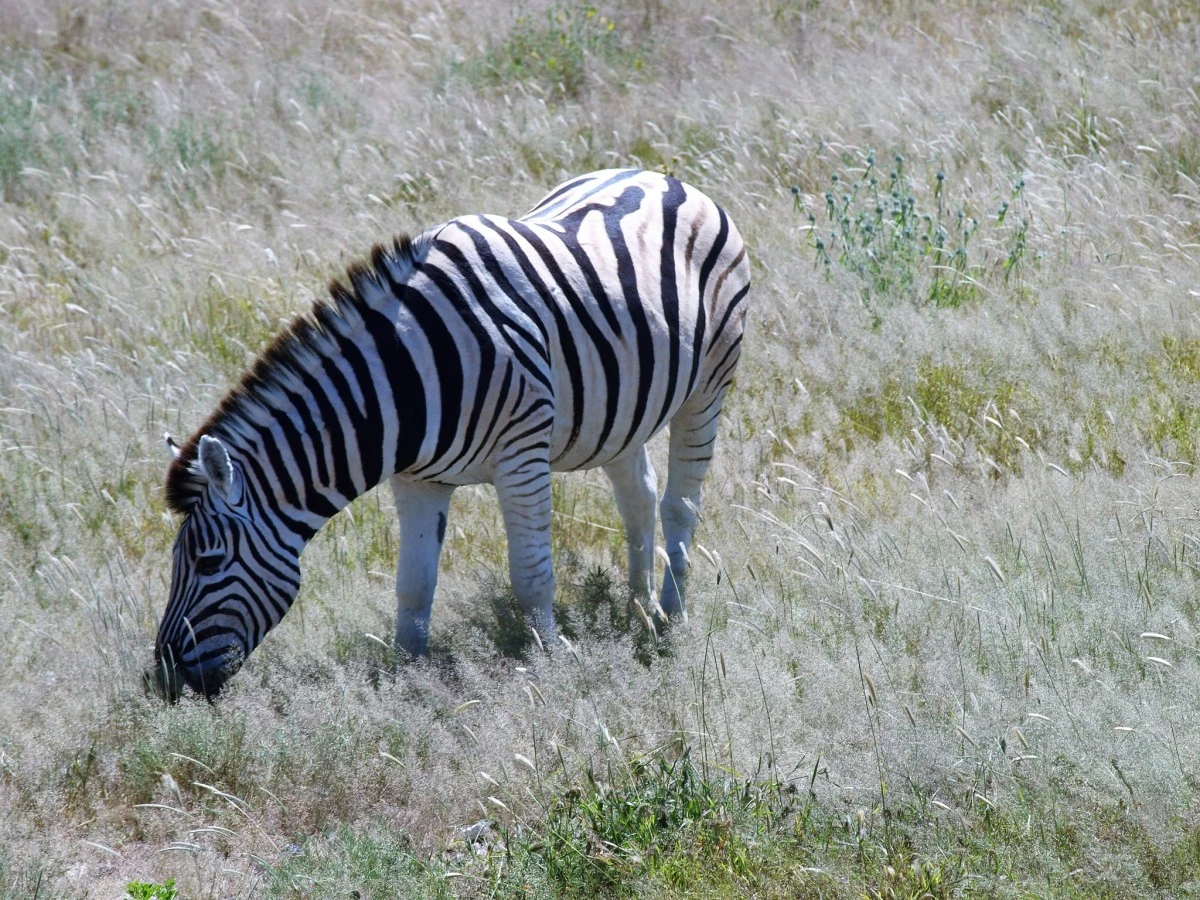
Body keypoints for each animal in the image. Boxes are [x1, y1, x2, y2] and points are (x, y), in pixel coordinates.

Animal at [147, 170, 748, 705]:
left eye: (208, 563)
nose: (165, 682)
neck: (401, 383)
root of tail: (661, 176)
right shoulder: (417, 479)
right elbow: (414, 585)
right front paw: (407, 678)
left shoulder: (521, 455)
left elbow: (531, 576)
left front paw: (554, 668)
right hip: (617, 412)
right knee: (638, 498)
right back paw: (637, 608)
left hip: (708, 386)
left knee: (680, 505)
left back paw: (671, 618)